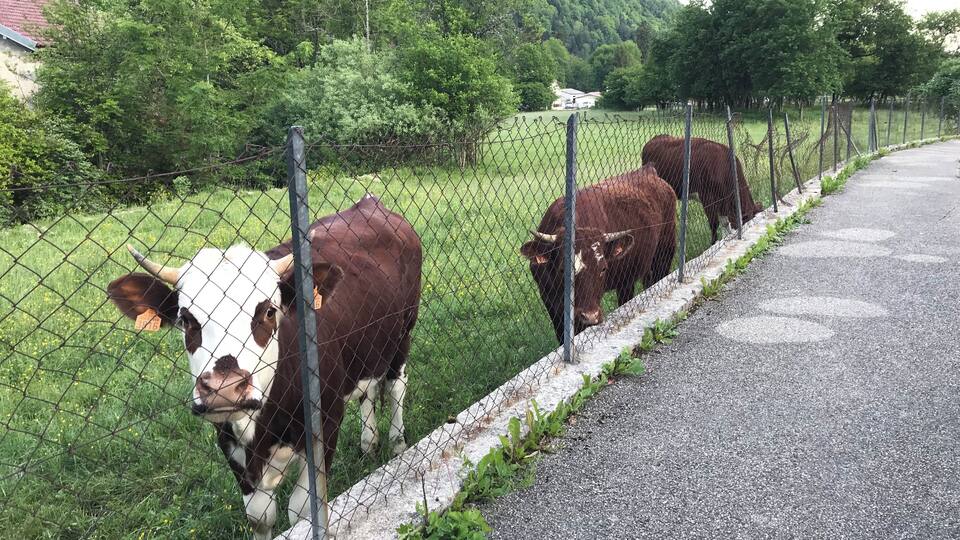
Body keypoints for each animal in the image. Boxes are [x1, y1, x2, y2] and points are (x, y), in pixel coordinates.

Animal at [107, 194, 421, 539]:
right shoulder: (229, 443)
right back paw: (369, 444)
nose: (225, 389)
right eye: (186, 319)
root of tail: (368, 203)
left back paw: (397, 443)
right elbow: (259, 516)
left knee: (396, 385)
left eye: (269, 311)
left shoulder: (325, 424)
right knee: (368, 390)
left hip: (403, 333)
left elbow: (302, 511)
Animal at [521, 164, 676, 342]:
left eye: (603, 268)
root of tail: (648, 171)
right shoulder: (549, 301)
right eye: (563, 270)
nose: (590, 316)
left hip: (664, 255)